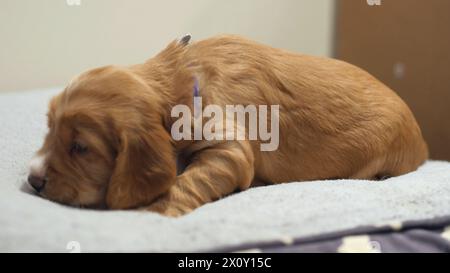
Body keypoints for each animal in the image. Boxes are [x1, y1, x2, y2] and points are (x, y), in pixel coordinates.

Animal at [26, 35, 428, 216]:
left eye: (81, 148)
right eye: (49, 130)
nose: (32, 180)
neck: (182, 82)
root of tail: (424, 146)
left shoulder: (229, 147)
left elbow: (188, 180)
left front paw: (152, 211)